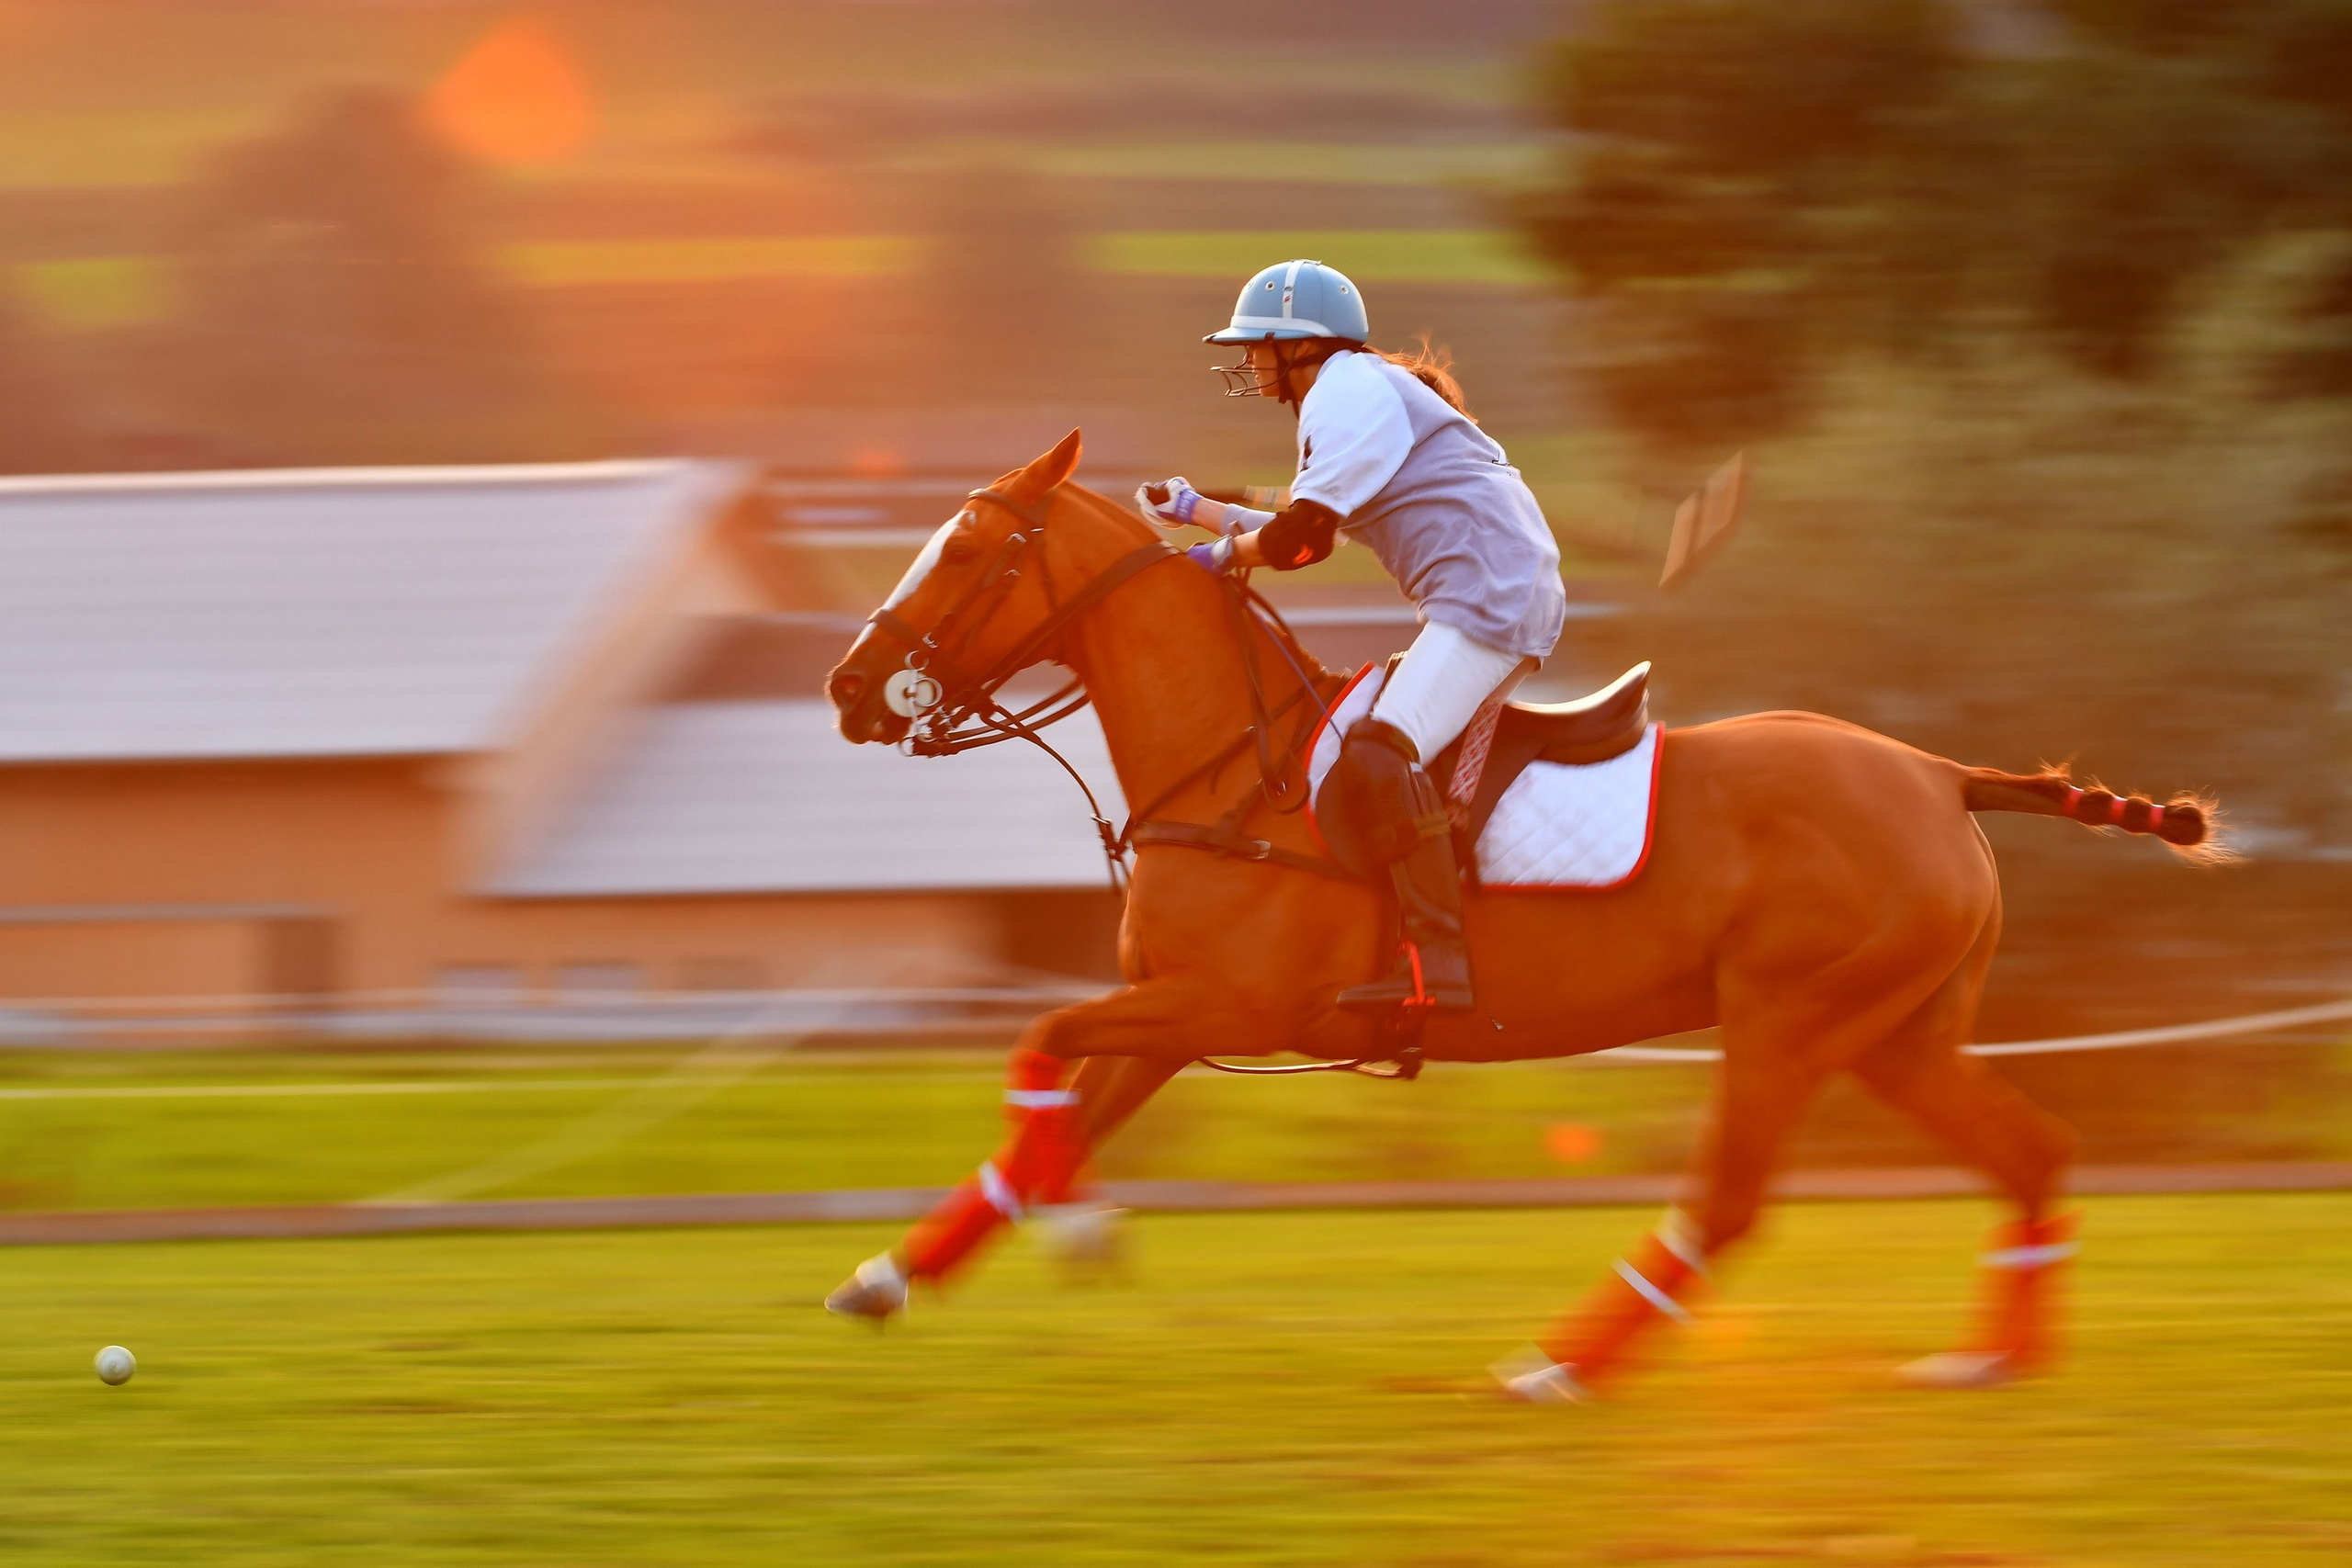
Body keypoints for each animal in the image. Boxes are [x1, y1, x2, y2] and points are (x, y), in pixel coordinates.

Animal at [820, 431, 2213, 1398]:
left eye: (961, 550)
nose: (847, 688)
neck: (1232, 770)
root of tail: (1937, 774)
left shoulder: (1223, 1003)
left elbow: (1039, 1045)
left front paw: (1075, 1237)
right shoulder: (1172, 1016)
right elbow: (1045, 1122)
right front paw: (890, 1275)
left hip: (1791, 1020)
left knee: (1728, 1201)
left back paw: (1558, 1366)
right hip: (1897, 1031)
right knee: (2030, 1151)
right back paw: (1992, 1360)